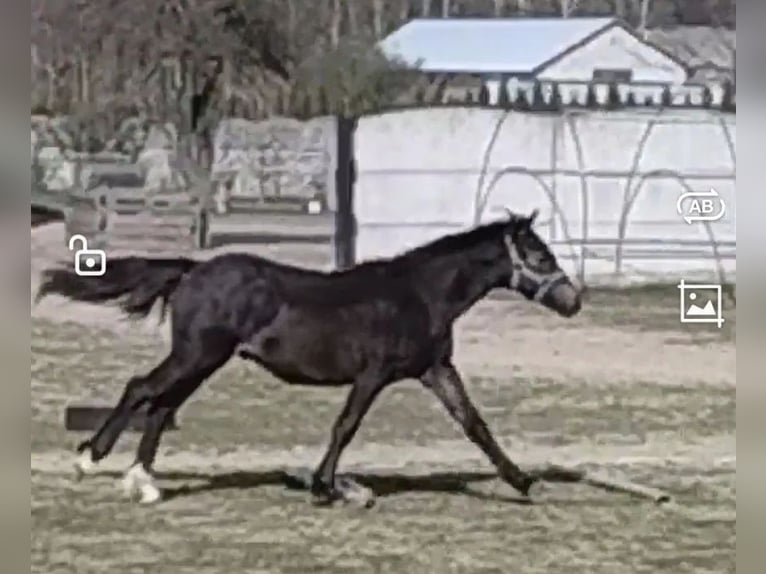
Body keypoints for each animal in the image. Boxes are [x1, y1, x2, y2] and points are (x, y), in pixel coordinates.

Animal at [37, 212, 584, 508]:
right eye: (539, 256)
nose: (574, 301)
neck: (419, 295)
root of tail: (193, 270)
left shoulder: (434, 370)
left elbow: (473, 423)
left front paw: (522, 481)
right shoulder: (373, 375)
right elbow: (346, 425)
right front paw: (325, 487)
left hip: (203, 360)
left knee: (161, 405)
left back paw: (144, 483)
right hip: (198, 354)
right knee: (142, 390)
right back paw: (90, 460)